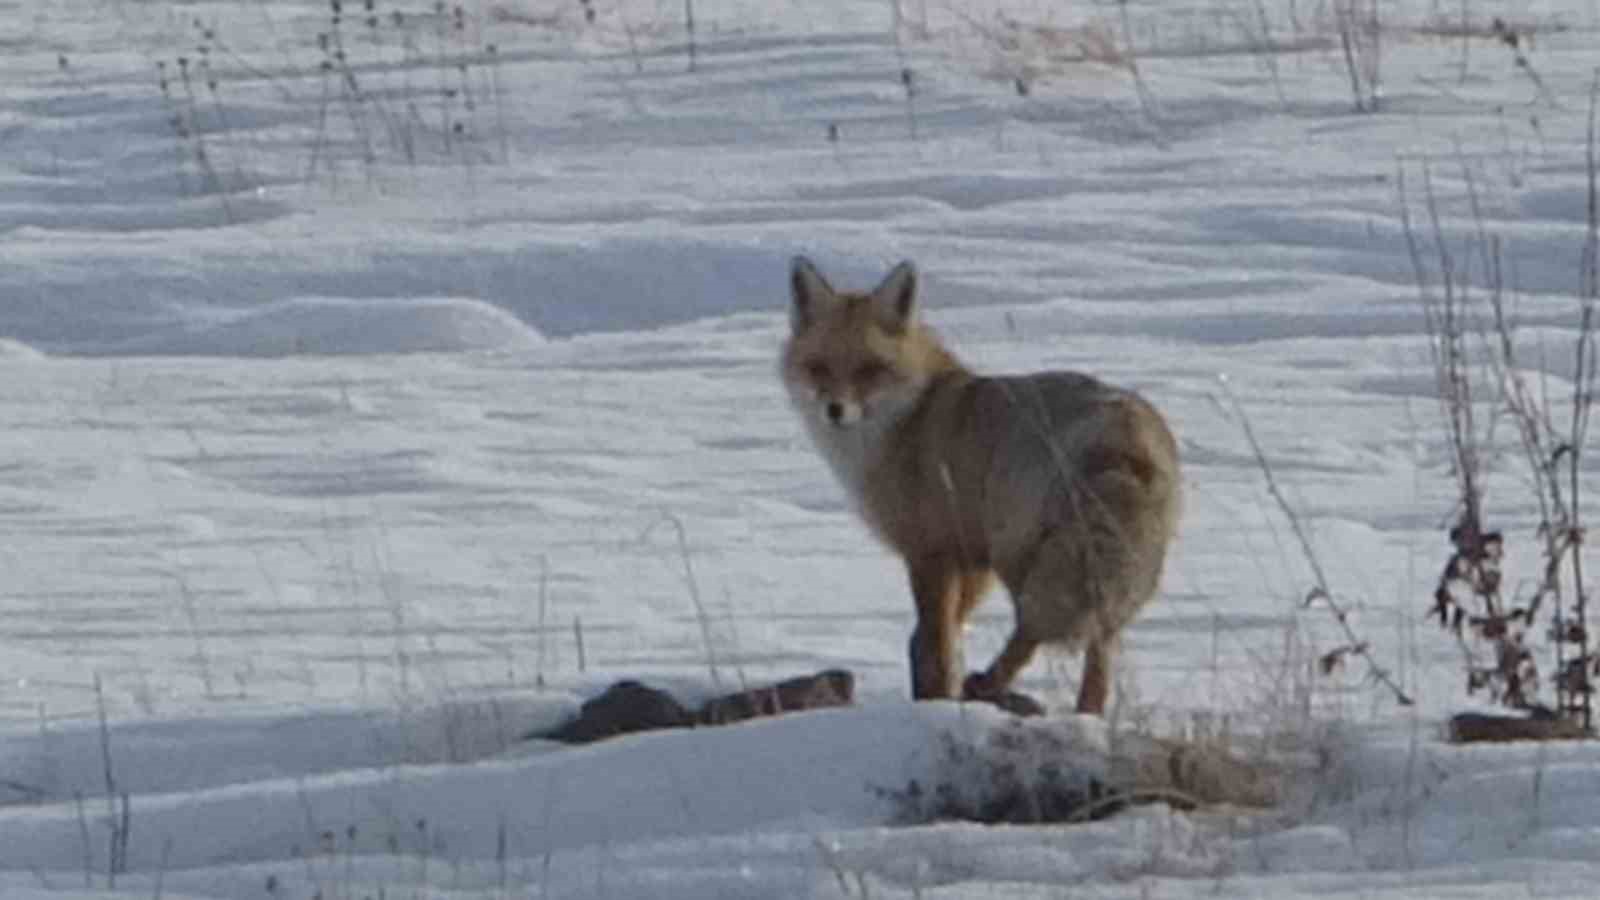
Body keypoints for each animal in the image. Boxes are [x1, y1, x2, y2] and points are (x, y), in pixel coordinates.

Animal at [780, 256, 1184, 711]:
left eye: (870, 370)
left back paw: (991, 684)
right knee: (1100, 650)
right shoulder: (972, 558)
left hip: (1022, 555)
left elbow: (936, 640)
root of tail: (1126, 434)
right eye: (818, 367)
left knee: (1033, 629)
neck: (910, 416)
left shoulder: (932, 551)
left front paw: (937, 695)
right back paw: (1087, 713)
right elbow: (940, 634)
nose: (834, 410)